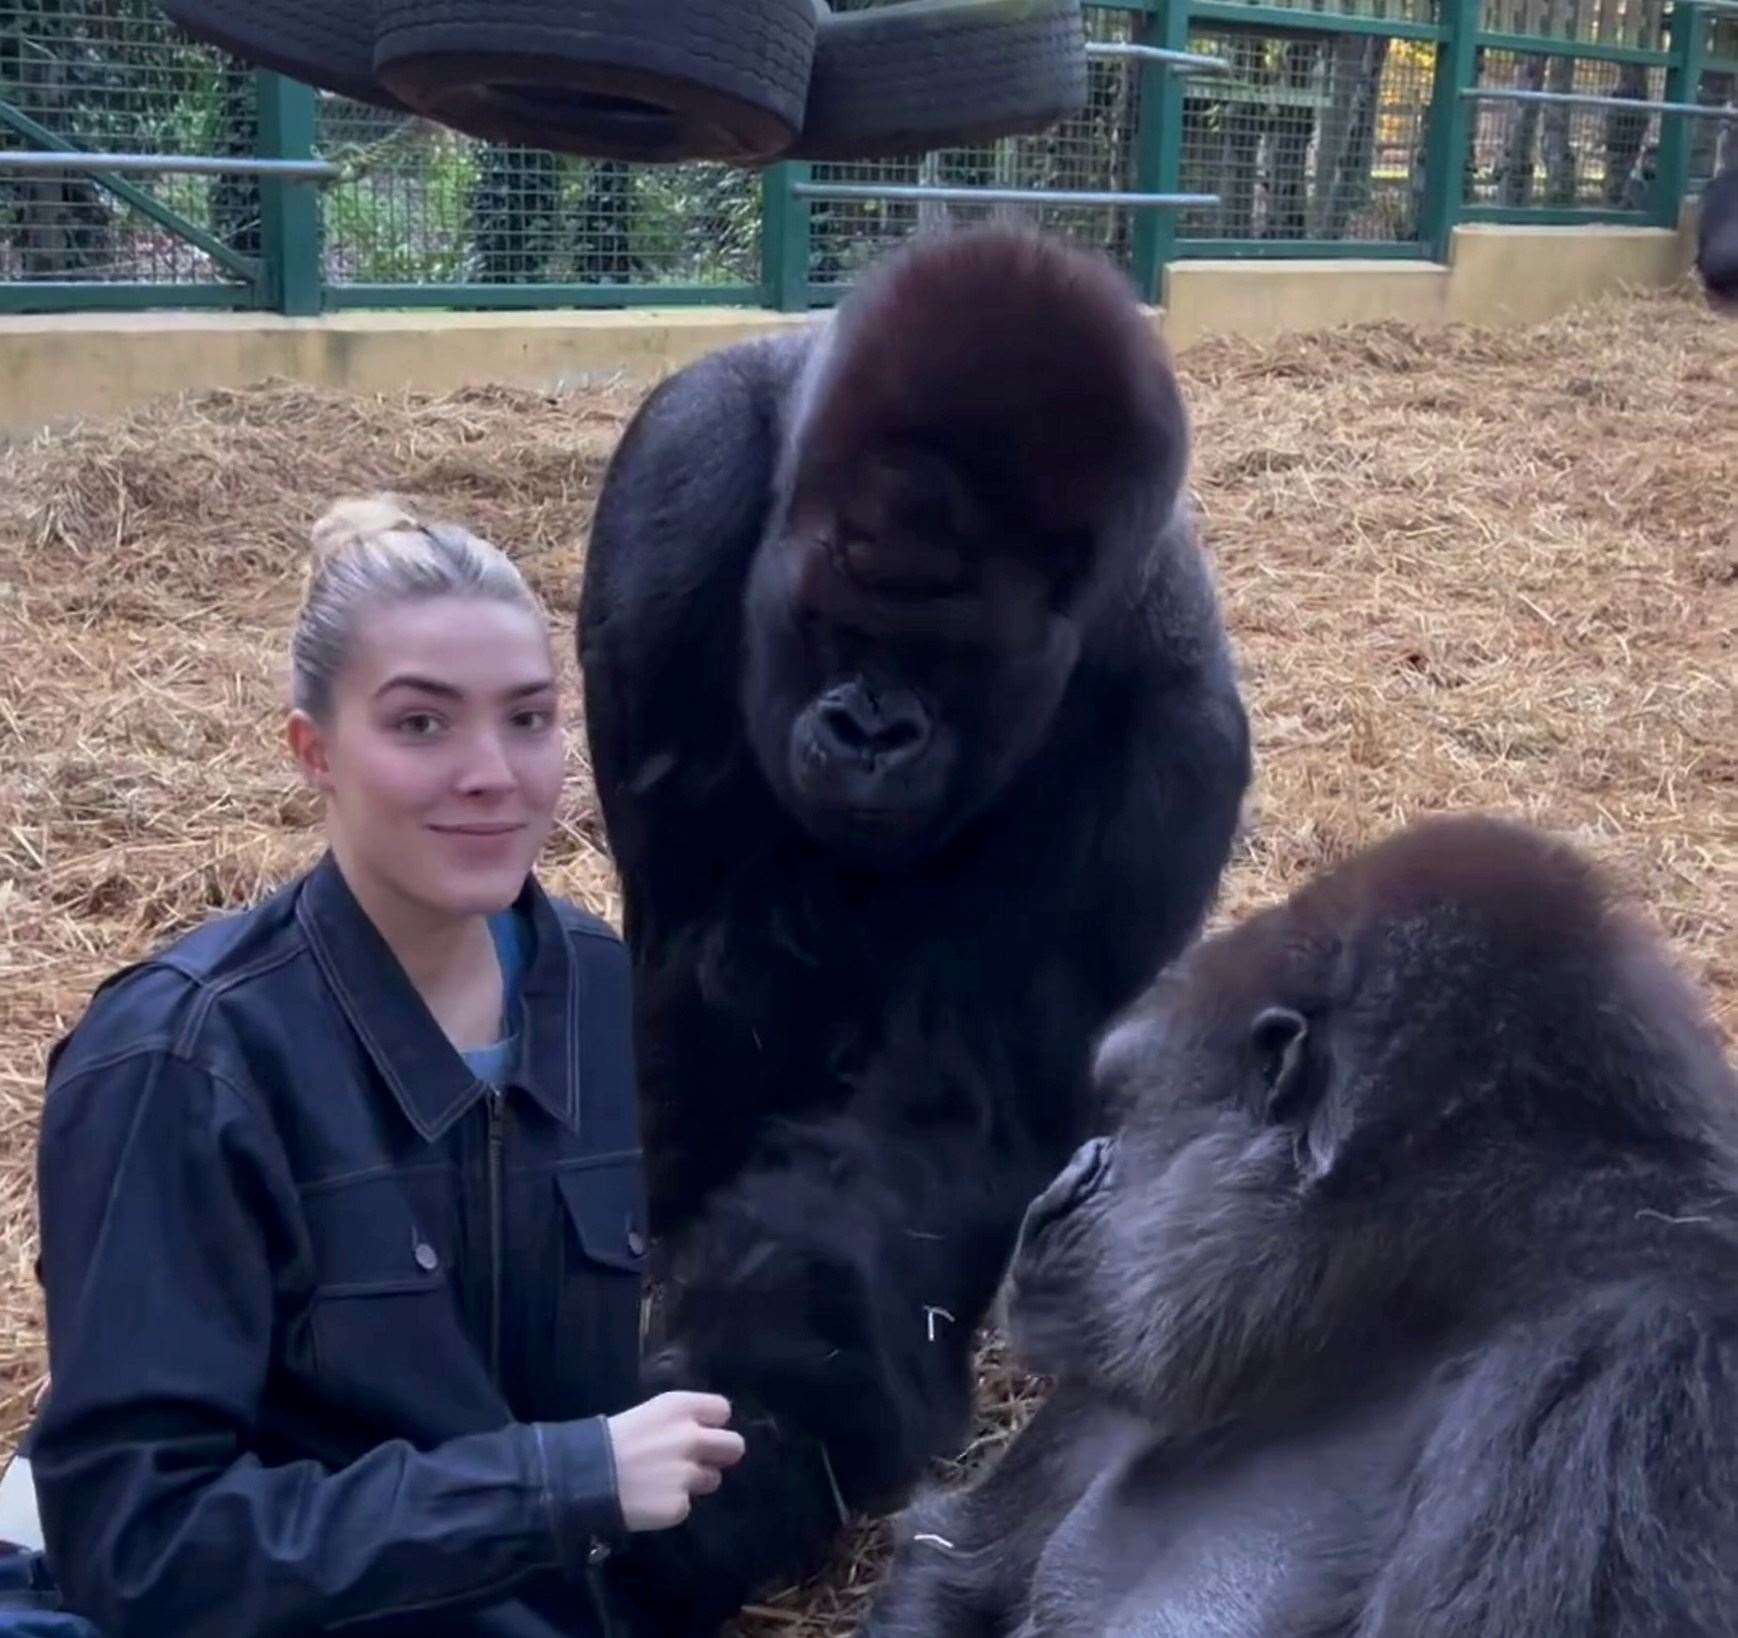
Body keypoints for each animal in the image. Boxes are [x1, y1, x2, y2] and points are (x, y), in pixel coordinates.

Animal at [580, 227, 1251, 1627]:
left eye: (949, 659)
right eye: (834, 623)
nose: (869, 729)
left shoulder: (1178, 728)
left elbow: (947, 1116)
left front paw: (756, 1449)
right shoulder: (671, 502)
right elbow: (695, 971)